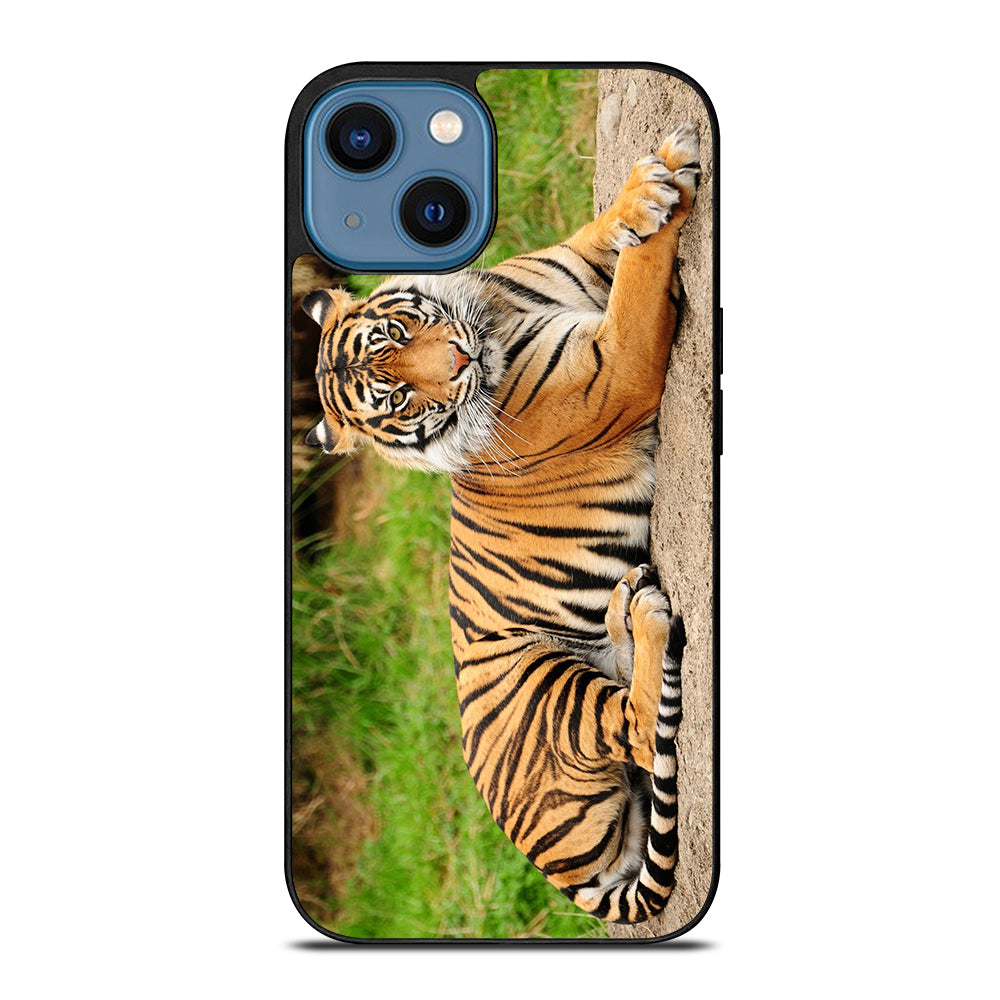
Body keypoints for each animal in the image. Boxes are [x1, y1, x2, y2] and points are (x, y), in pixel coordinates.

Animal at [302, 123, 700, 923]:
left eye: (398, 331)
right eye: (395, 397)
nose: (458, 362)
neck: (494, 315)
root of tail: (562, 875)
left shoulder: (571, 269)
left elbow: (607, 235)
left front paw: (648, 186)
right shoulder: (616, 366)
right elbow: (640, 279)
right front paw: (663, 189)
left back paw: (625, 606)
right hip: (544, 685)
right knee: (641, 727)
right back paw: (645, 616)